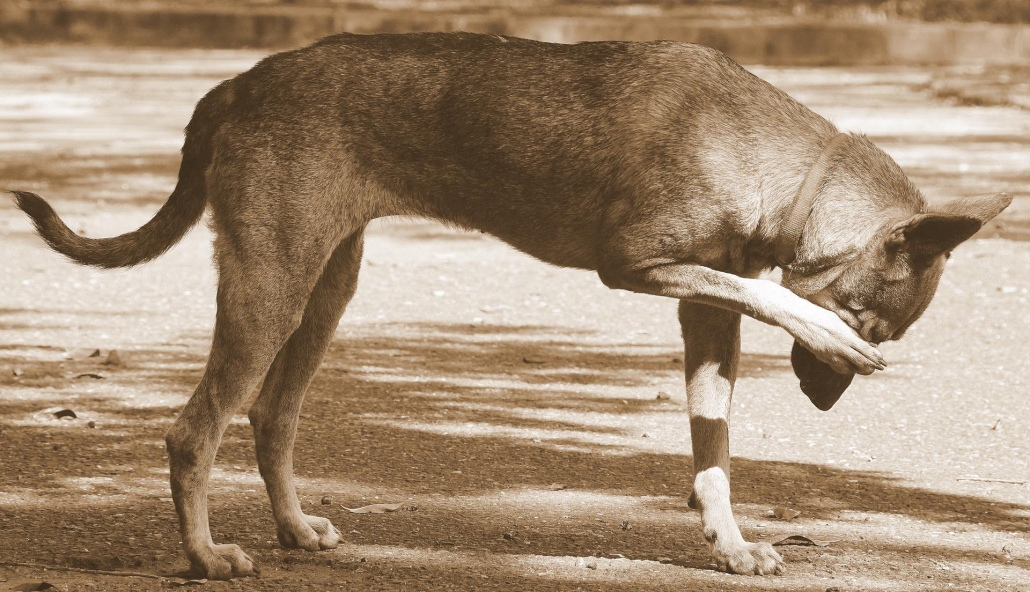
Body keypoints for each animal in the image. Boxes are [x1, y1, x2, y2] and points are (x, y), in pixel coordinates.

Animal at [10, 33, 1013, 580]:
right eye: (874, 327)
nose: (824, 400)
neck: (776, 163)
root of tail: (237, 83)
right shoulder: (636, 266)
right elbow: (766, 294)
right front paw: (817, 326)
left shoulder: (702, 317)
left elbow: (714, 451)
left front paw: (729, 544)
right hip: (271, 287)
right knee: (195, 431)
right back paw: (205, 557)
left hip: (324, 286)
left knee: (268, 416)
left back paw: (294, 529)